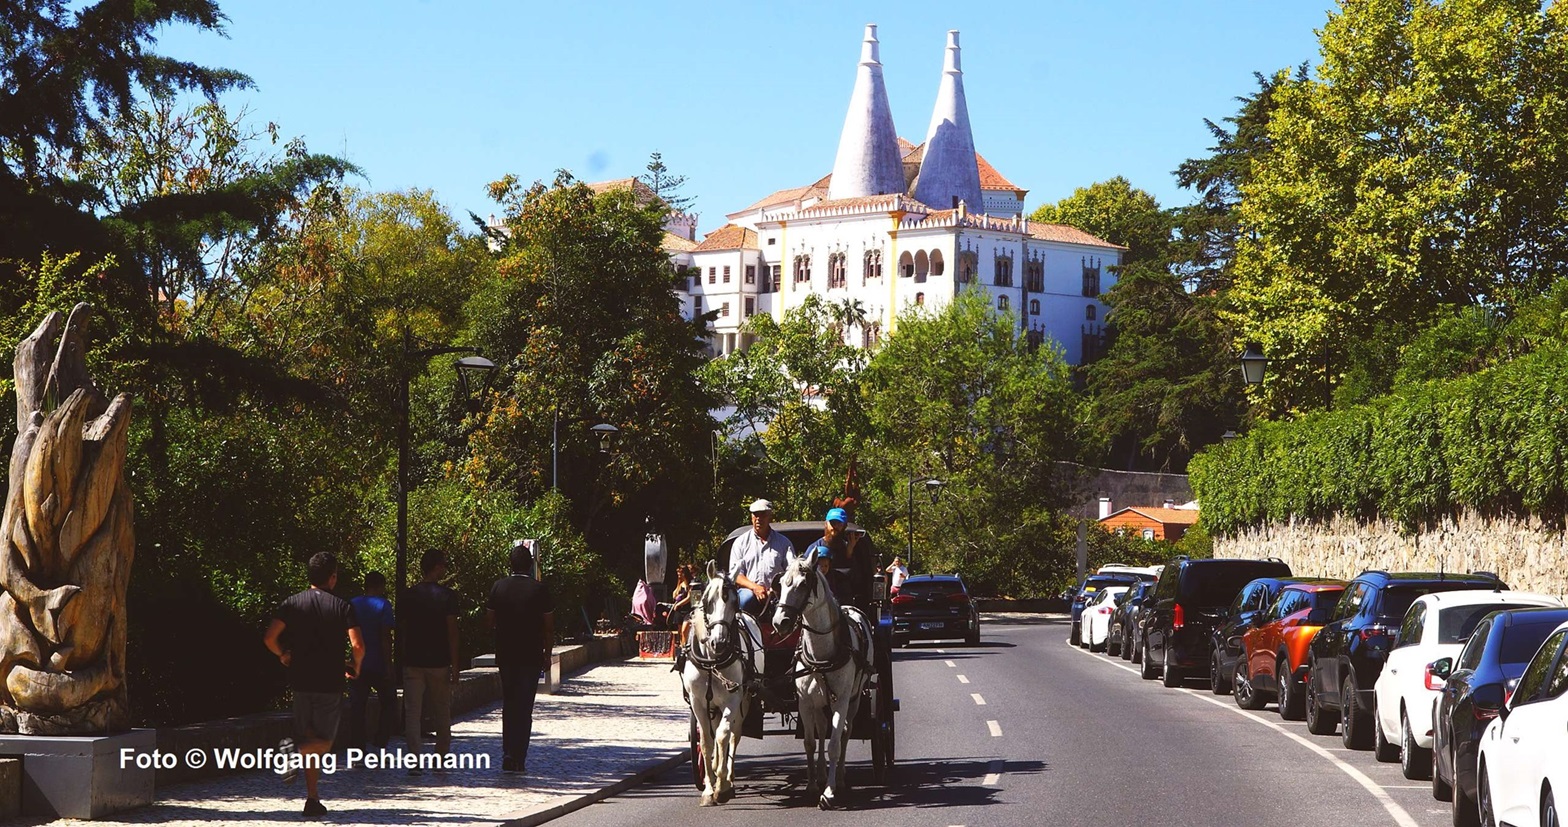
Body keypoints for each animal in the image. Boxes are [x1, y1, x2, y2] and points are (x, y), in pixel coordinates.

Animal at [680, 561, 765, 809]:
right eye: (707, 601)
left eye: (734, 602)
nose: (719, 642)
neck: (712, 662)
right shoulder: (698, 703)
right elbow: (706, 741)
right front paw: (709, 789)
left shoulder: (733, 699)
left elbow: (723, 735)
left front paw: (722, 784)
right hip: (713, 705)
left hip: (744, 701)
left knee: (733, 734)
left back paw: (728, 777)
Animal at [774, 546, 878, 809]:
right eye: (780, 583)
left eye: (803, 583)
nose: (780, 622)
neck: (821, 654)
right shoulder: (804, 702)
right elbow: (811, 742)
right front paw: (812, 784)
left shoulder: (841, 699)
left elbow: (834, 744)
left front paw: (829, 792)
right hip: (820, 702)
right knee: (822, 730)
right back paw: (822, 774)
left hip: (854, 698)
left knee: (845, 732)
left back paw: (838, 777)